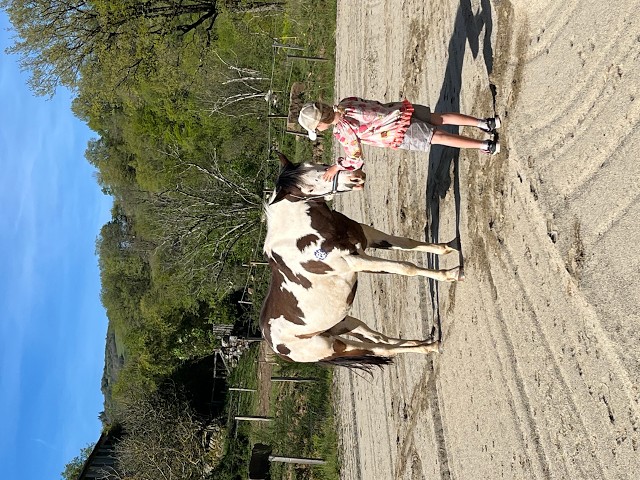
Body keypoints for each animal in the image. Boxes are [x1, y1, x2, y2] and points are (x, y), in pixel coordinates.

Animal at [259, 152, 463, 367]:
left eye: (316, 164)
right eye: (309, 189)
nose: (355, 177)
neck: (299, 233)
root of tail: (274, 345)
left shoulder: (367, 237)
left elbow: (408, 243)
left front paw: (449, 247)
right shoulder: (354, 262)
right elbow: (406, 267)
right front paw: (452, 274)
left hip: (344, 323)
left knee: (380, 338)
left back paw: (422, 342)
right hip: (336, 346)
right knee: (382, 349)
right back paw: (430, 347)